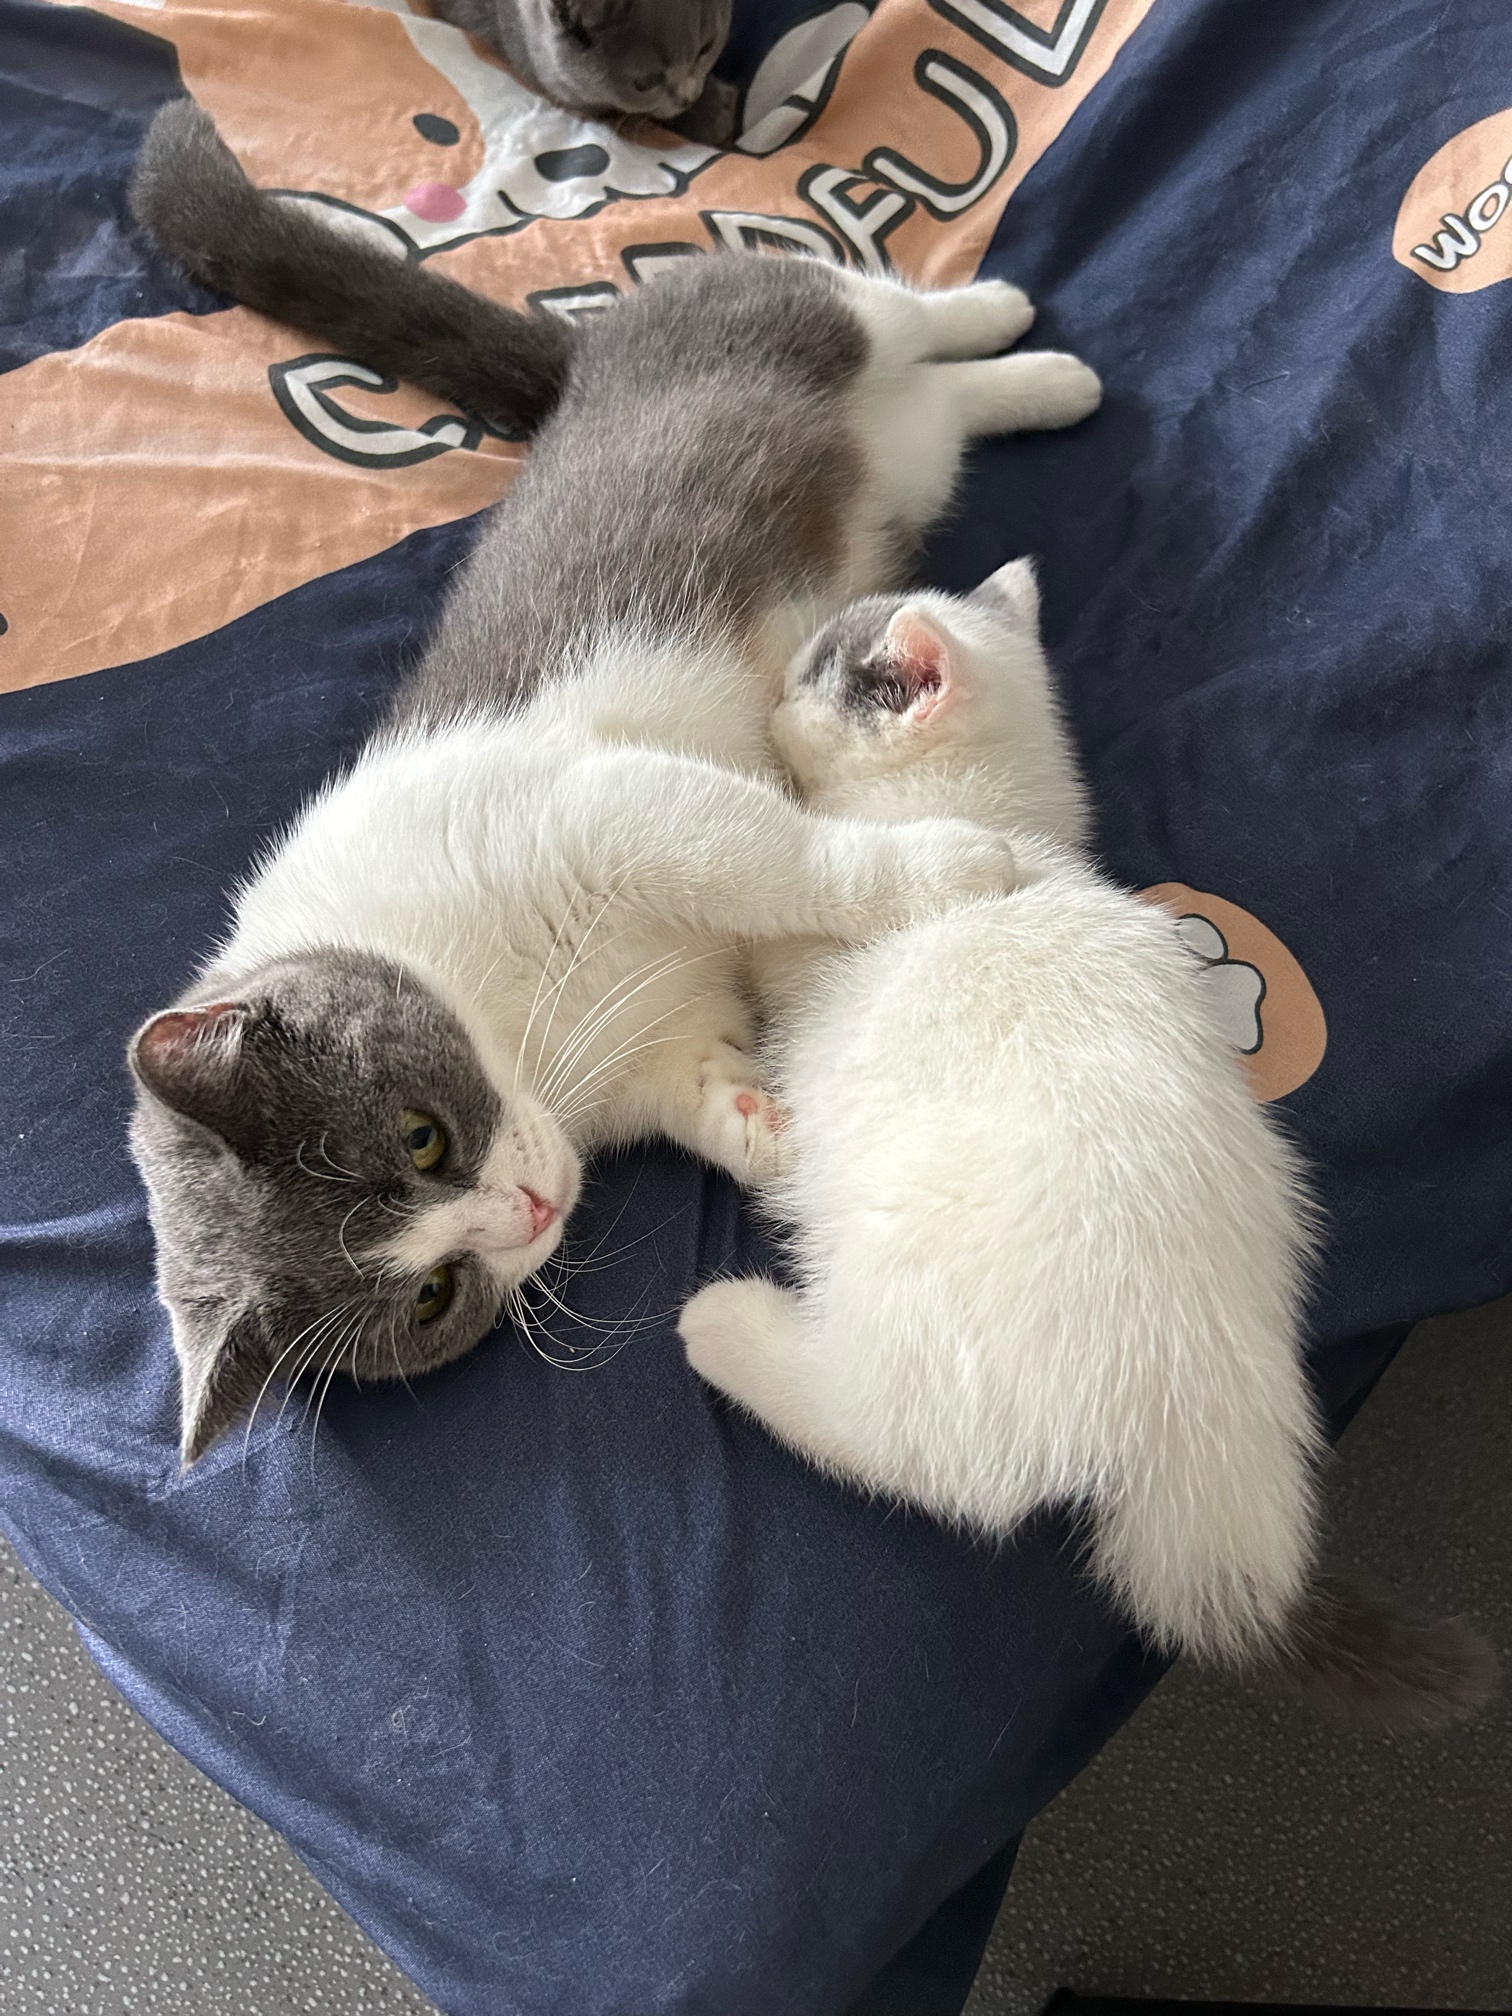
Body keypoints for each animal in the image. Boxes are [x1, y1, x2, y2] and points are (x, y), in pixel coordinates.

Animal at [126, 101, 1103, 1467]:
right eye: (433, 1294)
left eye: (421, 1136)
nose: (531, 1208)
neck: (526, 1035)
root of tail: (591, 359)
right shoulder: (653, 1048)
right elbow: (708, 1086)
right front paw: (773, 1129)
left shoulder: (604, 809)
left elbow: (769, 852)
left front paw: (952, 862)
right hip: (914, 454)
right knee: (944, 414)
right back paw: (1032, 377)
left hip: (787, 312)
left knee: (880, 307)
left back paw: (1012, 321)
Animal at [679, 568, 1498, 1733]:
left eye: (814, 673)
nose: (773, 680)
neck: (996, 820)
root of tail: (1193, 1401)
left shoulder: (823, 909)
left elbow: (772, 886)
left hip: (914, 1290)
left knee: (909, 1446)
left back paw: (729, 1328)